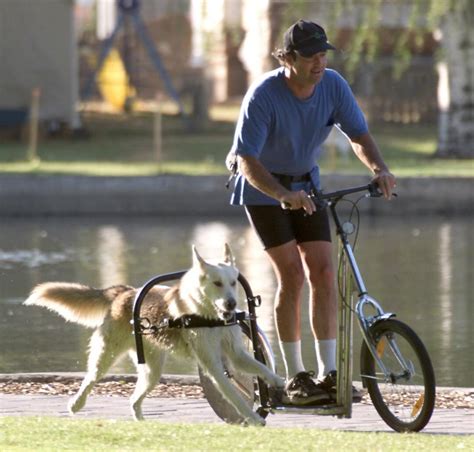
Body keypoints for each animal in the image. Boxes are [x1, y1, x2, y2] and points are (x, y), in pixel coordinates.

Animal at [24, 244, 286, 424]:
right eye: (217, 283)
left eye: (233, 282)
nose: (231, 304)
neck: (208, 315)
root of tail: (124, 292)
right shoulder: (213, 365)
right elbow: (234, 395)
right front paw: (253, 418)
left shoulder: (235, 354)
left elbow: (261, 368)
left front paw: (279, 382)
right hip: (106, 355)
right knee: (90, 379)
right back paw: (76, 404)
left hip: (152, 370)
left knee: (133, 398)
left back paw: (142, 422)